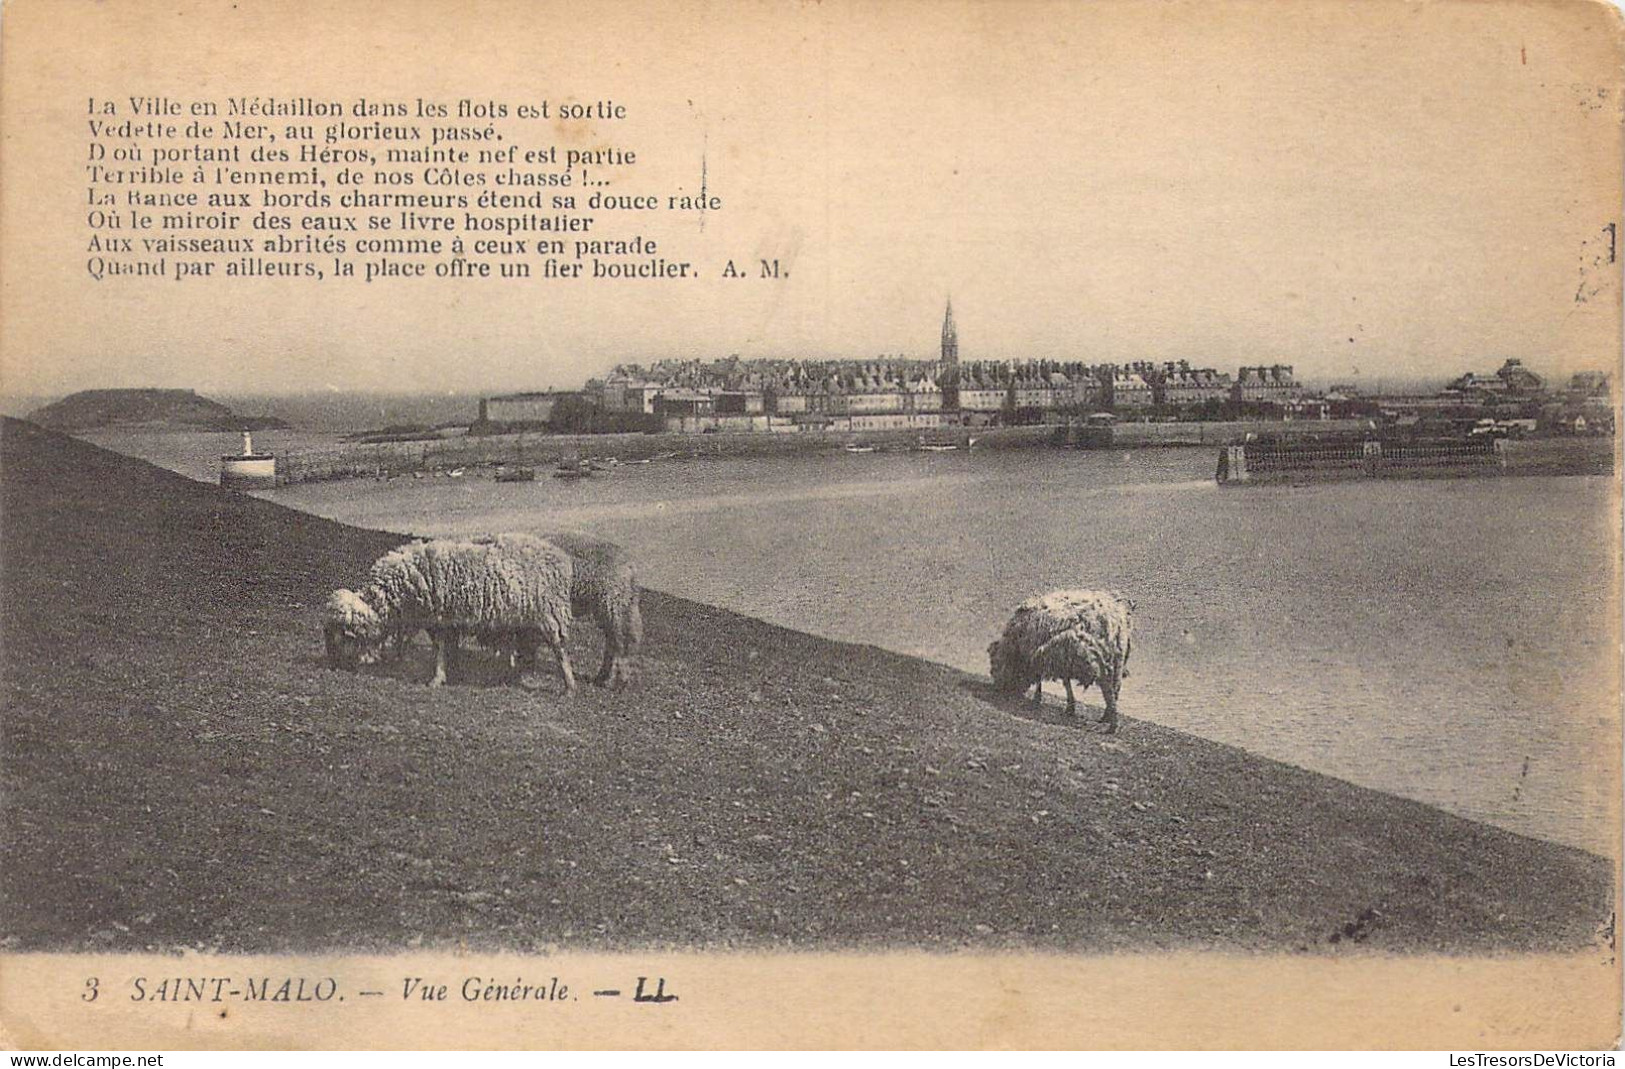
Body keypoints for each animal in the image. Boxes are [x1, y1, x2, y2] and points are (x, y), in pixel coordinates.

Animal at [320, 532, 575, 692]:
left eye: (340, 635)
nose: (331, 665)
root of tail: (561, 557)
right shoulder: (442, 619)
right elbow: (445, 648)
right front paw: (452, 672)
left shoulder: (440, 618)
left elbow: (440, 650)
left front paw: (437, 678)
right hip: (526, 619)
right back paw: (512, 674)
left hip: (549, 612)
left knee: (559, 649)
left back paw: (569, 686)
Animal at [981, 588, 1137, 727]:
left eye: (994, 663)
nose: (997, 688)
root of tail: (1113, 619)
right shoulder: (1059, 658)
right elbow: (1065, 682)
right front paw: (1069, 707)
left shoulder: (1045, 654)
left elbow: (1044, 680)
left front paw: (1038, 700)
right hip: (1118, 658)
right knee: (1115, 688)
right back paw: (1107, 716)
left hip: (1098, 660)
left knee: (1108, 688)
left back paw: (1111, 723)